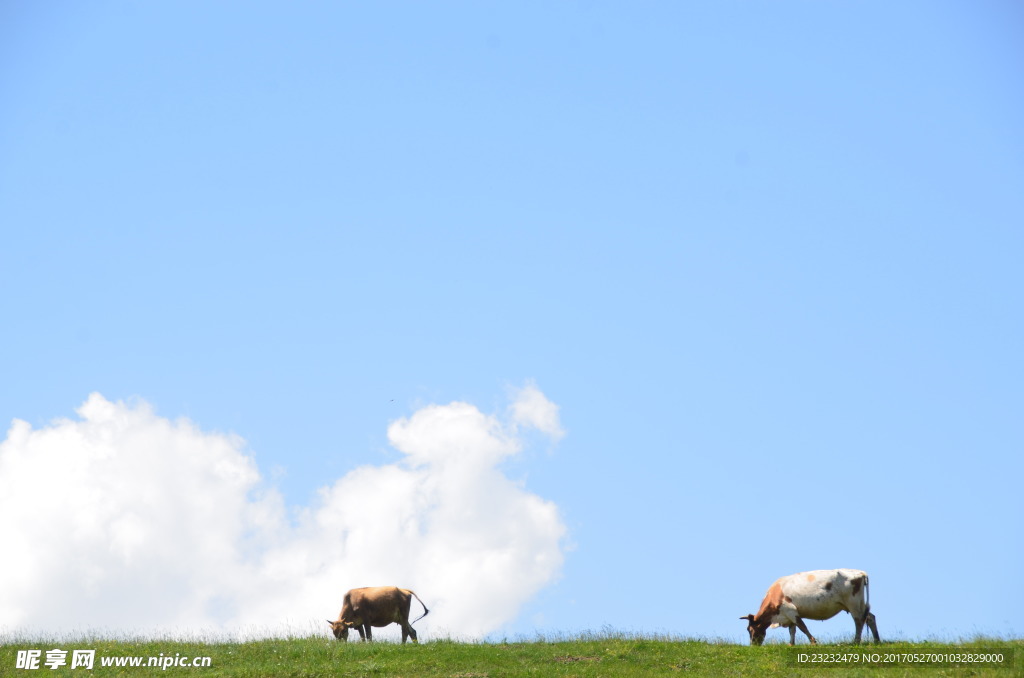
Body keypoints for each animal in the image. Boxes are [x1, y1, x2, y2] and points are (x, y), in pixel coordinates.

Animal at [741, 569, 876, 647]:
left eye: (749, 629)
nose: (753, 645)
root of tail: (860, 572)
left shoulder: (790, 610)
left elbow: (802, 627)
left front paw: (813, 642)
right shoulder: (788, 615)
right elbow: (792, 630)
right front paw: (791, 644)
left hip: (853, 604)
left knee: (859, 621)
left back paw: (856, 641)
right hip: (859, 604)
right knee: (870, 617)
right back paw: (877, 640)